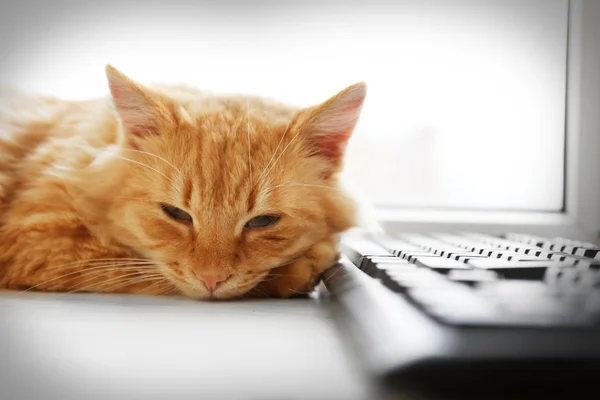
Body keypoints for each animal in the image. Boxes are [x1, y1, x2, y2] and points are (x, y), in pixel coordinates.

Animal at [0, 65, 370, 300]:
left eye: (263, 221)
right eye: (175, 214)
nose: (212, 280)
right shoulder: (38, 243)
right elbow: (139, 268)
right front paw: (306, 264)